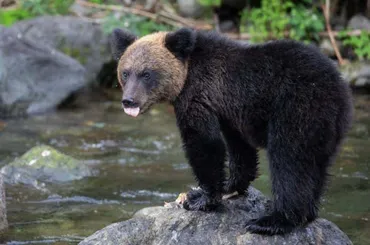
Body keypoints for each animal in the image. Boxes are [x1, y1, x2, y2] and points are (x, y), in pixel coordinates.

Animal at [110, 27, 352, 235]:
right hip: (327, 128)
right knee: (317, 166)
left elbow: (204, 143)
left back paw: (273, 221)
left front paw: (199, 198)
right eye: (126, 72)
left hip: (297, 109)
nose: (129, 101)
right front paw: (230, 186)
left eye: (146, 74)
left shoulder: (199, 95)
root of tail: (339, 88)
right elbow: (239, 147)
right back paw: (308, 213)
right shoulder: (230, 111)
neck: (186, 75)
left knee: (289, 161)